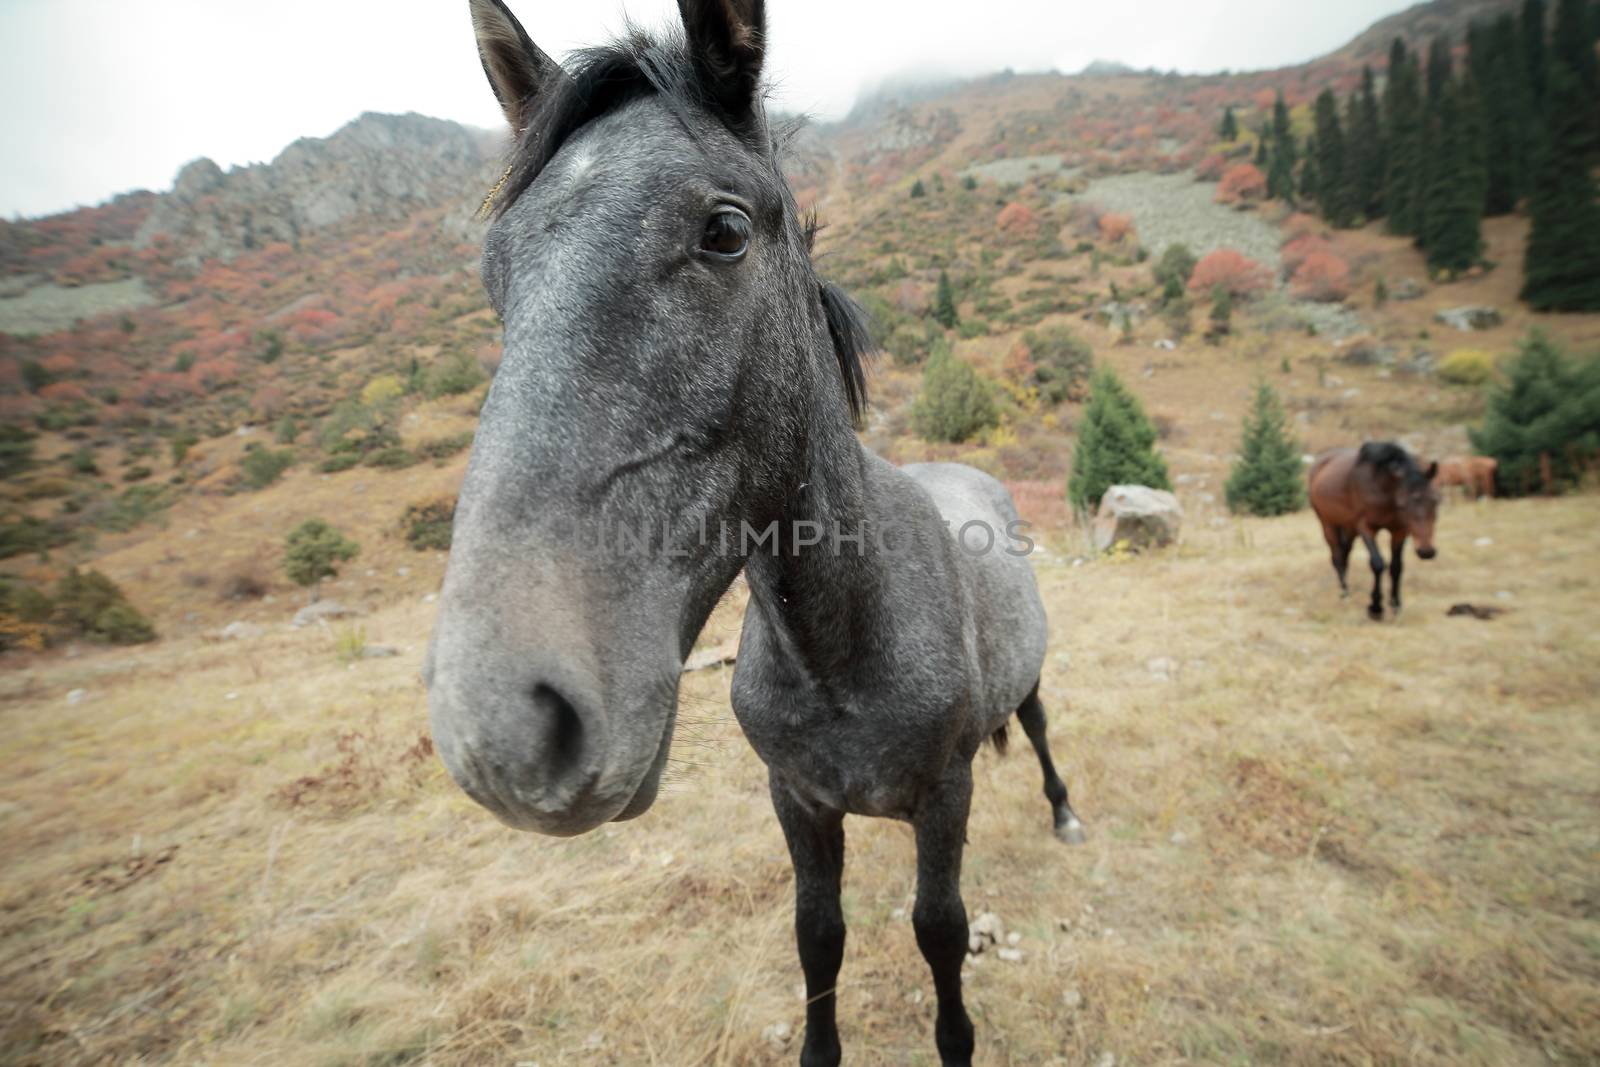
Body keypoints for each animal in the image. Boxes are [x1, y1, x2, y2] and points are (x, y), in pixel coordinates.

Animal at [425, 4, 1081, 1062]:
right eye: (496, 271)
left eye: (724, 231)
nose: (504, 733)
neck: (842, 647)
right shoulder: (798, 800)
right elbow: (819, 935)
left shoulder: (944, 797)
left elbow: (940, 931)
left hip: (1026, 689)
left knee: (1040, 725)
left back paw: (1065, 811)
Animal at [1305, 441, 1446, 620]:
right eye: (1403, 504)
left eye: (1435, 501)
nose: (1426, 551)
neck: (1381, 487)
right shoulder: (1366, 527)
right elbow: (1377, 564)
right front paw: (1375, 608)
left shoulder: (1399, 530)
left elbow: (1396, 567)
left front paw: (1396, 605)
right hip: (1328, 523)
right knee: (1337, 557)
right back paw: (1345, 593)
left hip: (1349, 528)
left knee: (1345, 555)